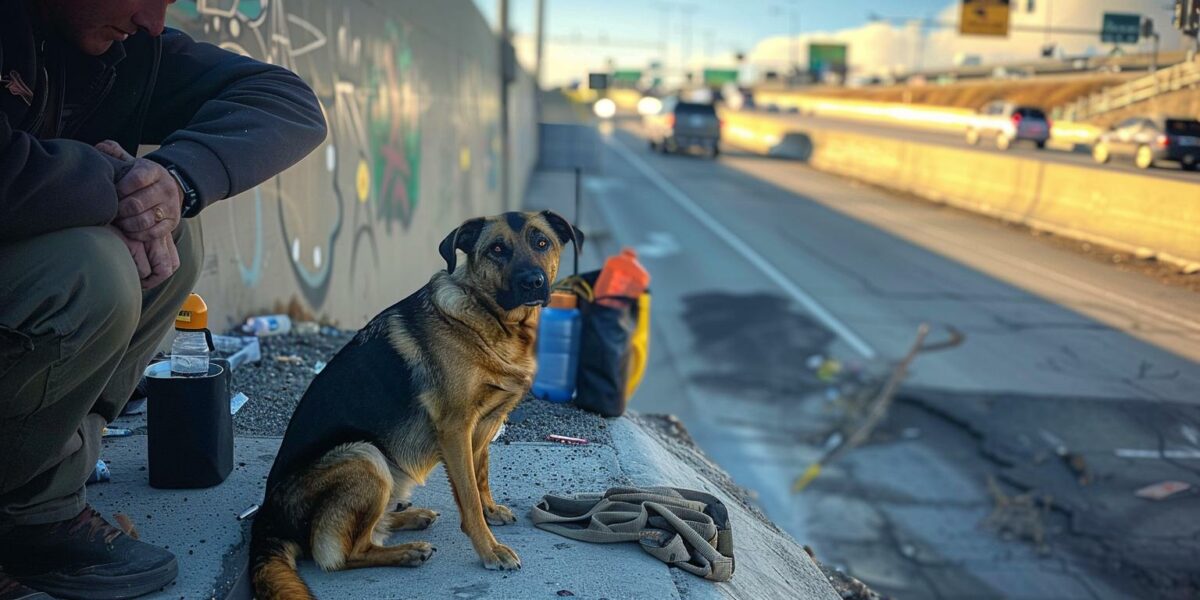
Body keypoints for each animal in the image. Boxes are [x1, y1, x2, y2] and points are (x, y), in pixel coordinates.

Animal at [250, 210, 583, 595]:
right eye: (497, 249)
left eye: (541, 242)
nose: (533, 282)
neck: (490, 319)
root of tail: (267, 522)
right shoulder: (455, 430)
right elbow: (468, 495)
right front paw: (489, 549)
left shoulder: (485, 423)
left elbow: (480, 474)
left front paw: (490, 510)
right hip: (365, 456)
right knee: (344, 554)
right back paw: (407, 552)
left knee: (370, 531)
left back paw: (410, 517)